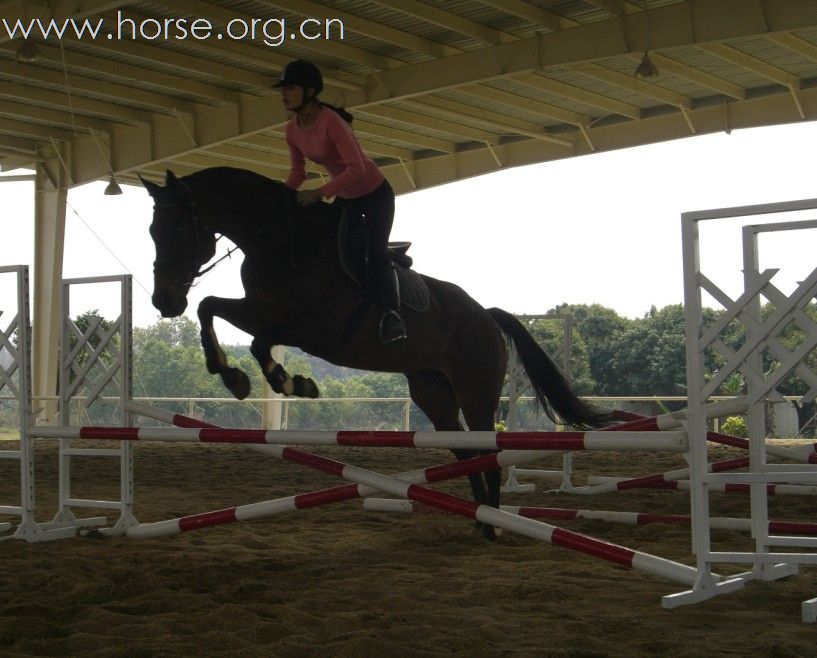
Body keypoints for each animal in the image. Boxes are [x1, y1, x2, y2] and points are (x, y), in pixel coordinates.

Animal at [142, 167, 612, 536]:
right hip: (432, 392)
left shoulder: (320, 329)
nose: (164, 302)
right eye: (152, 232)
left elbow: (258, 342)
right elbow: (209, 307)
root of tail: (487, 315)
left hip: (476, 391)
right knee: (464, 451)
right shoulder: (259, 311)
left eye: (178, 228)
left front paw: (290, 382)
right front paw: (232, 374)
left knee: (487, 451)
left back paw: (493, 525)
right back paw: (480, 518)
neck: (280, 241)